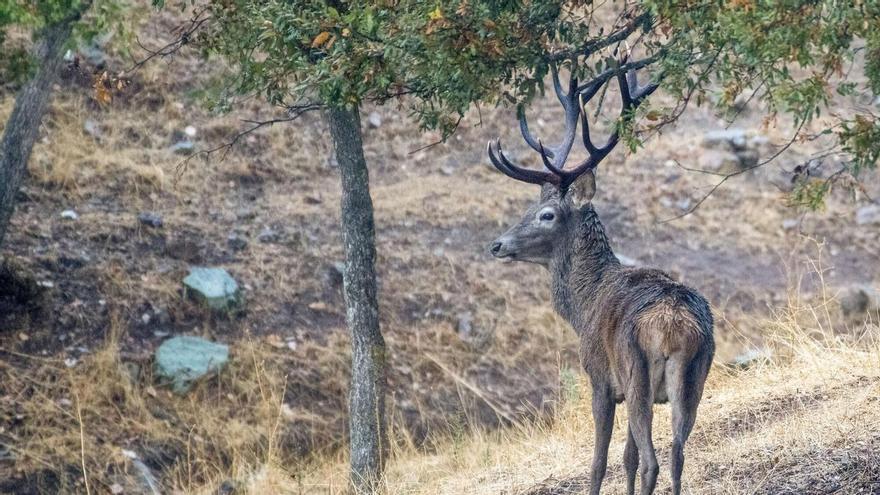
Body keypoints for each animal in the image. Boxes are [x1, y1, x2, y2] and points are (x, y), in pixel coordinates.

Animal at [487, 59, 715, 495]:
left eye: (546, 215)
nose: (497, 244)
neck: (583, 305)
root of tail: (674, 327)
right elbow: (626, 458)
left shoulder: (601, 379)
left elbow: (599, 461)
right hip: (695, 375)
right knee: (677, 454)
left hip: (636, 371)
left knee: (653, 461)